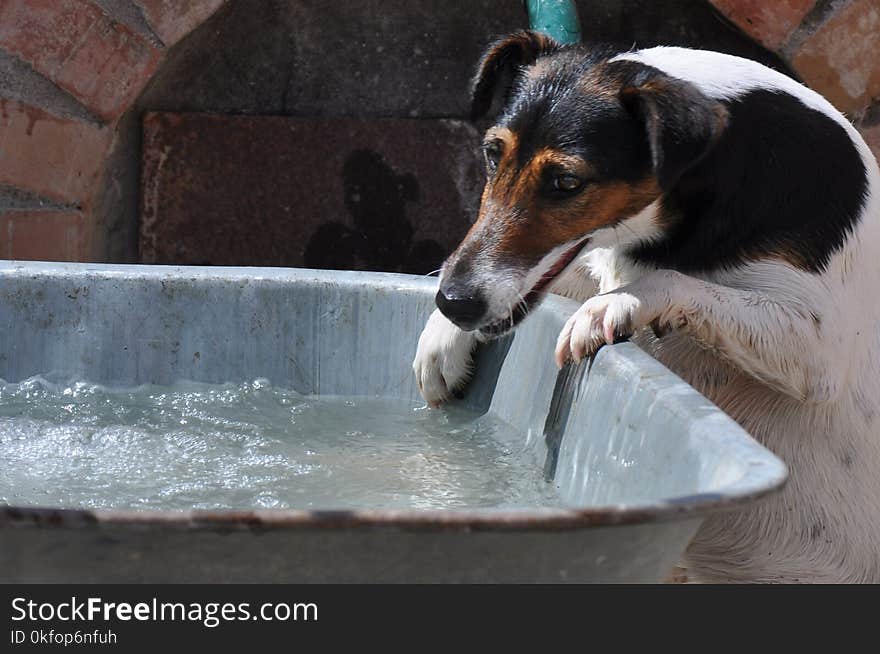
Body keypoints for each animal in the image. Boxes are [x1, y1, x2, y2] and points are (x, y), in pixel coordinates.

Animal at [410, 32, 880, 584]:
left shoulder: (820, 348)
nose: (454, 302)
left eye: (566, 183)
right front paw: (441, 337)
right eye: (490, 153)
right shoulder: (588, 259)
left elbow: (665, 280)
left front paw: (608, 309)